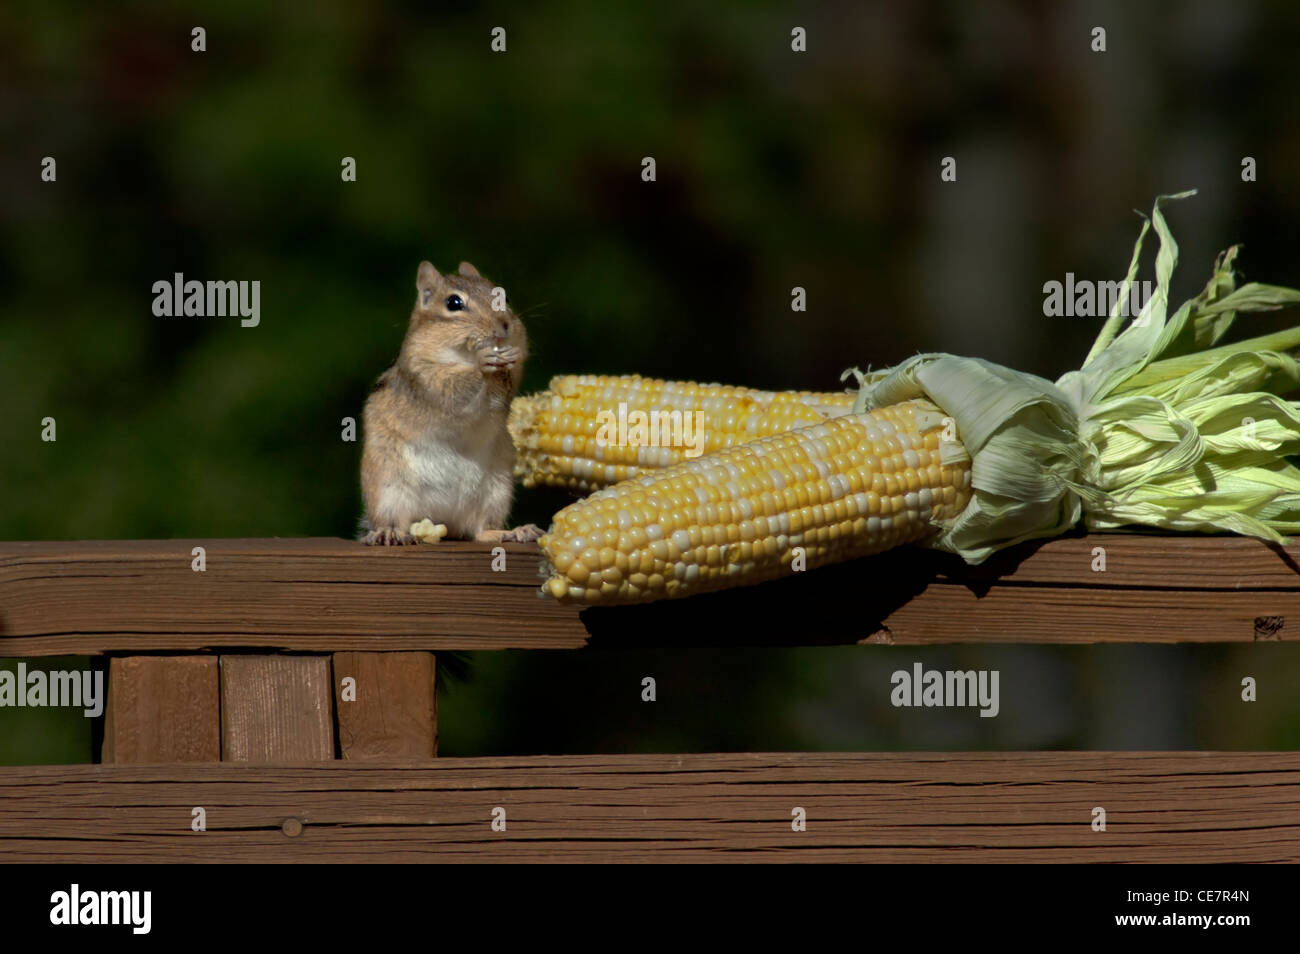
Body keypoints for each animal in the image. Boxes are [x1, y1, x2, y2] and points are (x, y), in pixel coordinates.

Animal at [360, 260, 542, 546]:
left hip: (497, 490)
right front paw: (483, 363)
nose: (504, 326)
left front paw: (507, 361)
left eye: (506, 298)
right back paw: (388, 532)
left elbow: (506, 390)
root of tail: (441, 519)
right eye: (454, 303)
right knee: (396, 520)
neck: (461, 357)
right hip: (387, 486)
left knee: (479, 531)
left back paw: (514, 531)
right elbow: (452, 391)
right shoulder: (424, 375)